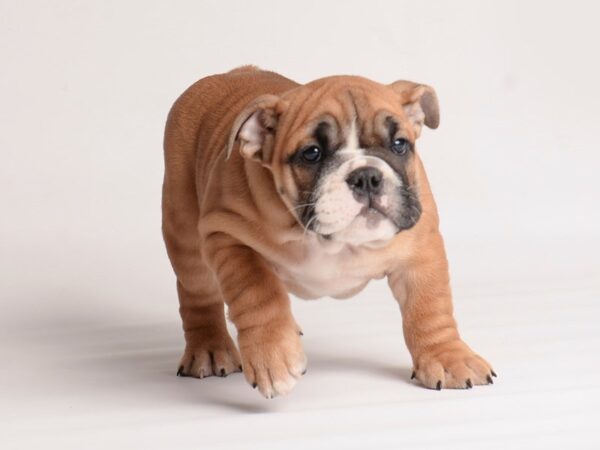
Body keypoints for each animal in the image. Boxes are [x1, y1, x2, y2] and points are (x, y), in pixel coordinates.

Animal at [162, 64, 494, 398]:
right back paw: (209, 349)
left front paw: (449, 358)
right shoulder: (225, 235)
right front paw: (273, 356)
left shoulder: (420, 248)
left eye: (399, 144)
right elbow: (257, 292)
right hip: (185, 234)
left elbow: (430, 308)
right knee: (198, 294)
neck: (332, 242)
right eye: (312, 153)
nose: (366, 176)